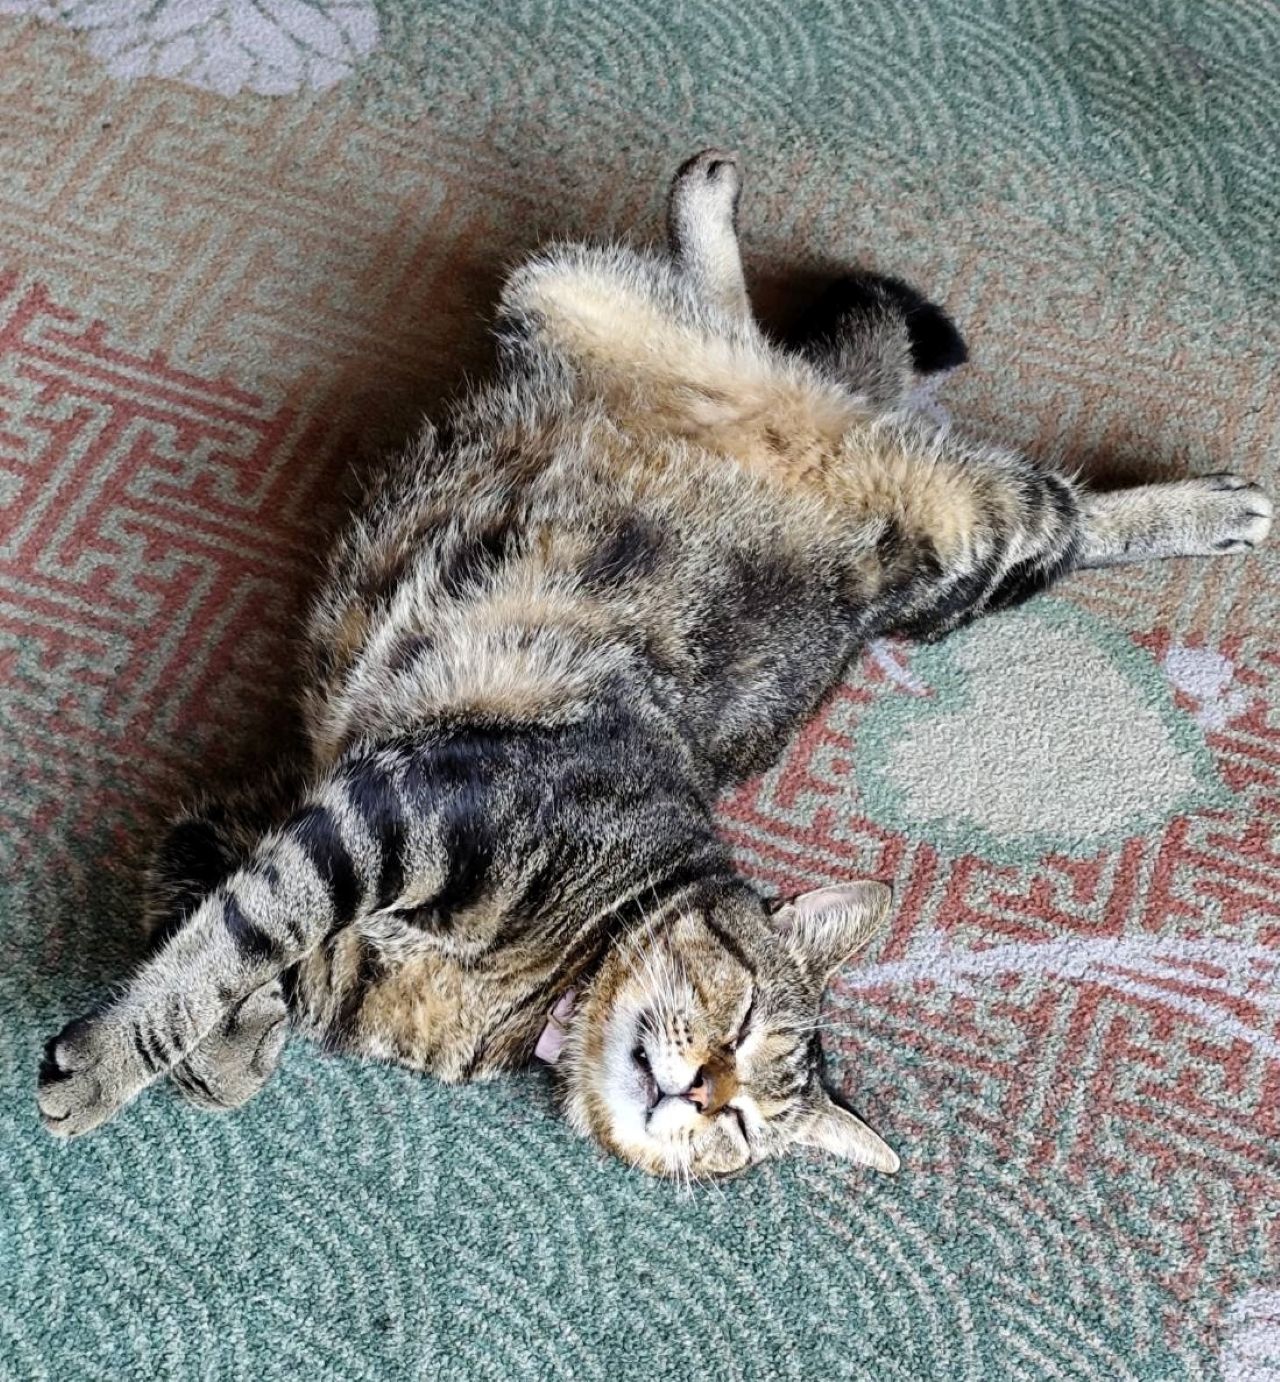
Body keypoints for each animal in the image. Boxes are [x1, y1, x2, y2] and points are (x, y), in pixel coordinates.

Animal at [37, 150, 1272, 1181]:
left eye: (748, 1125)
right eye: (745, 1027)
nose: (702, 1092)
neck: (546, 988)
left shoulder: (303, 816)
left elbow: (231, 939)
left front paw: (212, 1045)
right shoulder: (406, 803)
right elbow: (230, 939)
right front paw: (131, 1058)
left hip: (617, 326)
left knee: (787, 346)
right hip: (916, 507)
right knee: (1041, 505)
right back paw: (1214, 506)